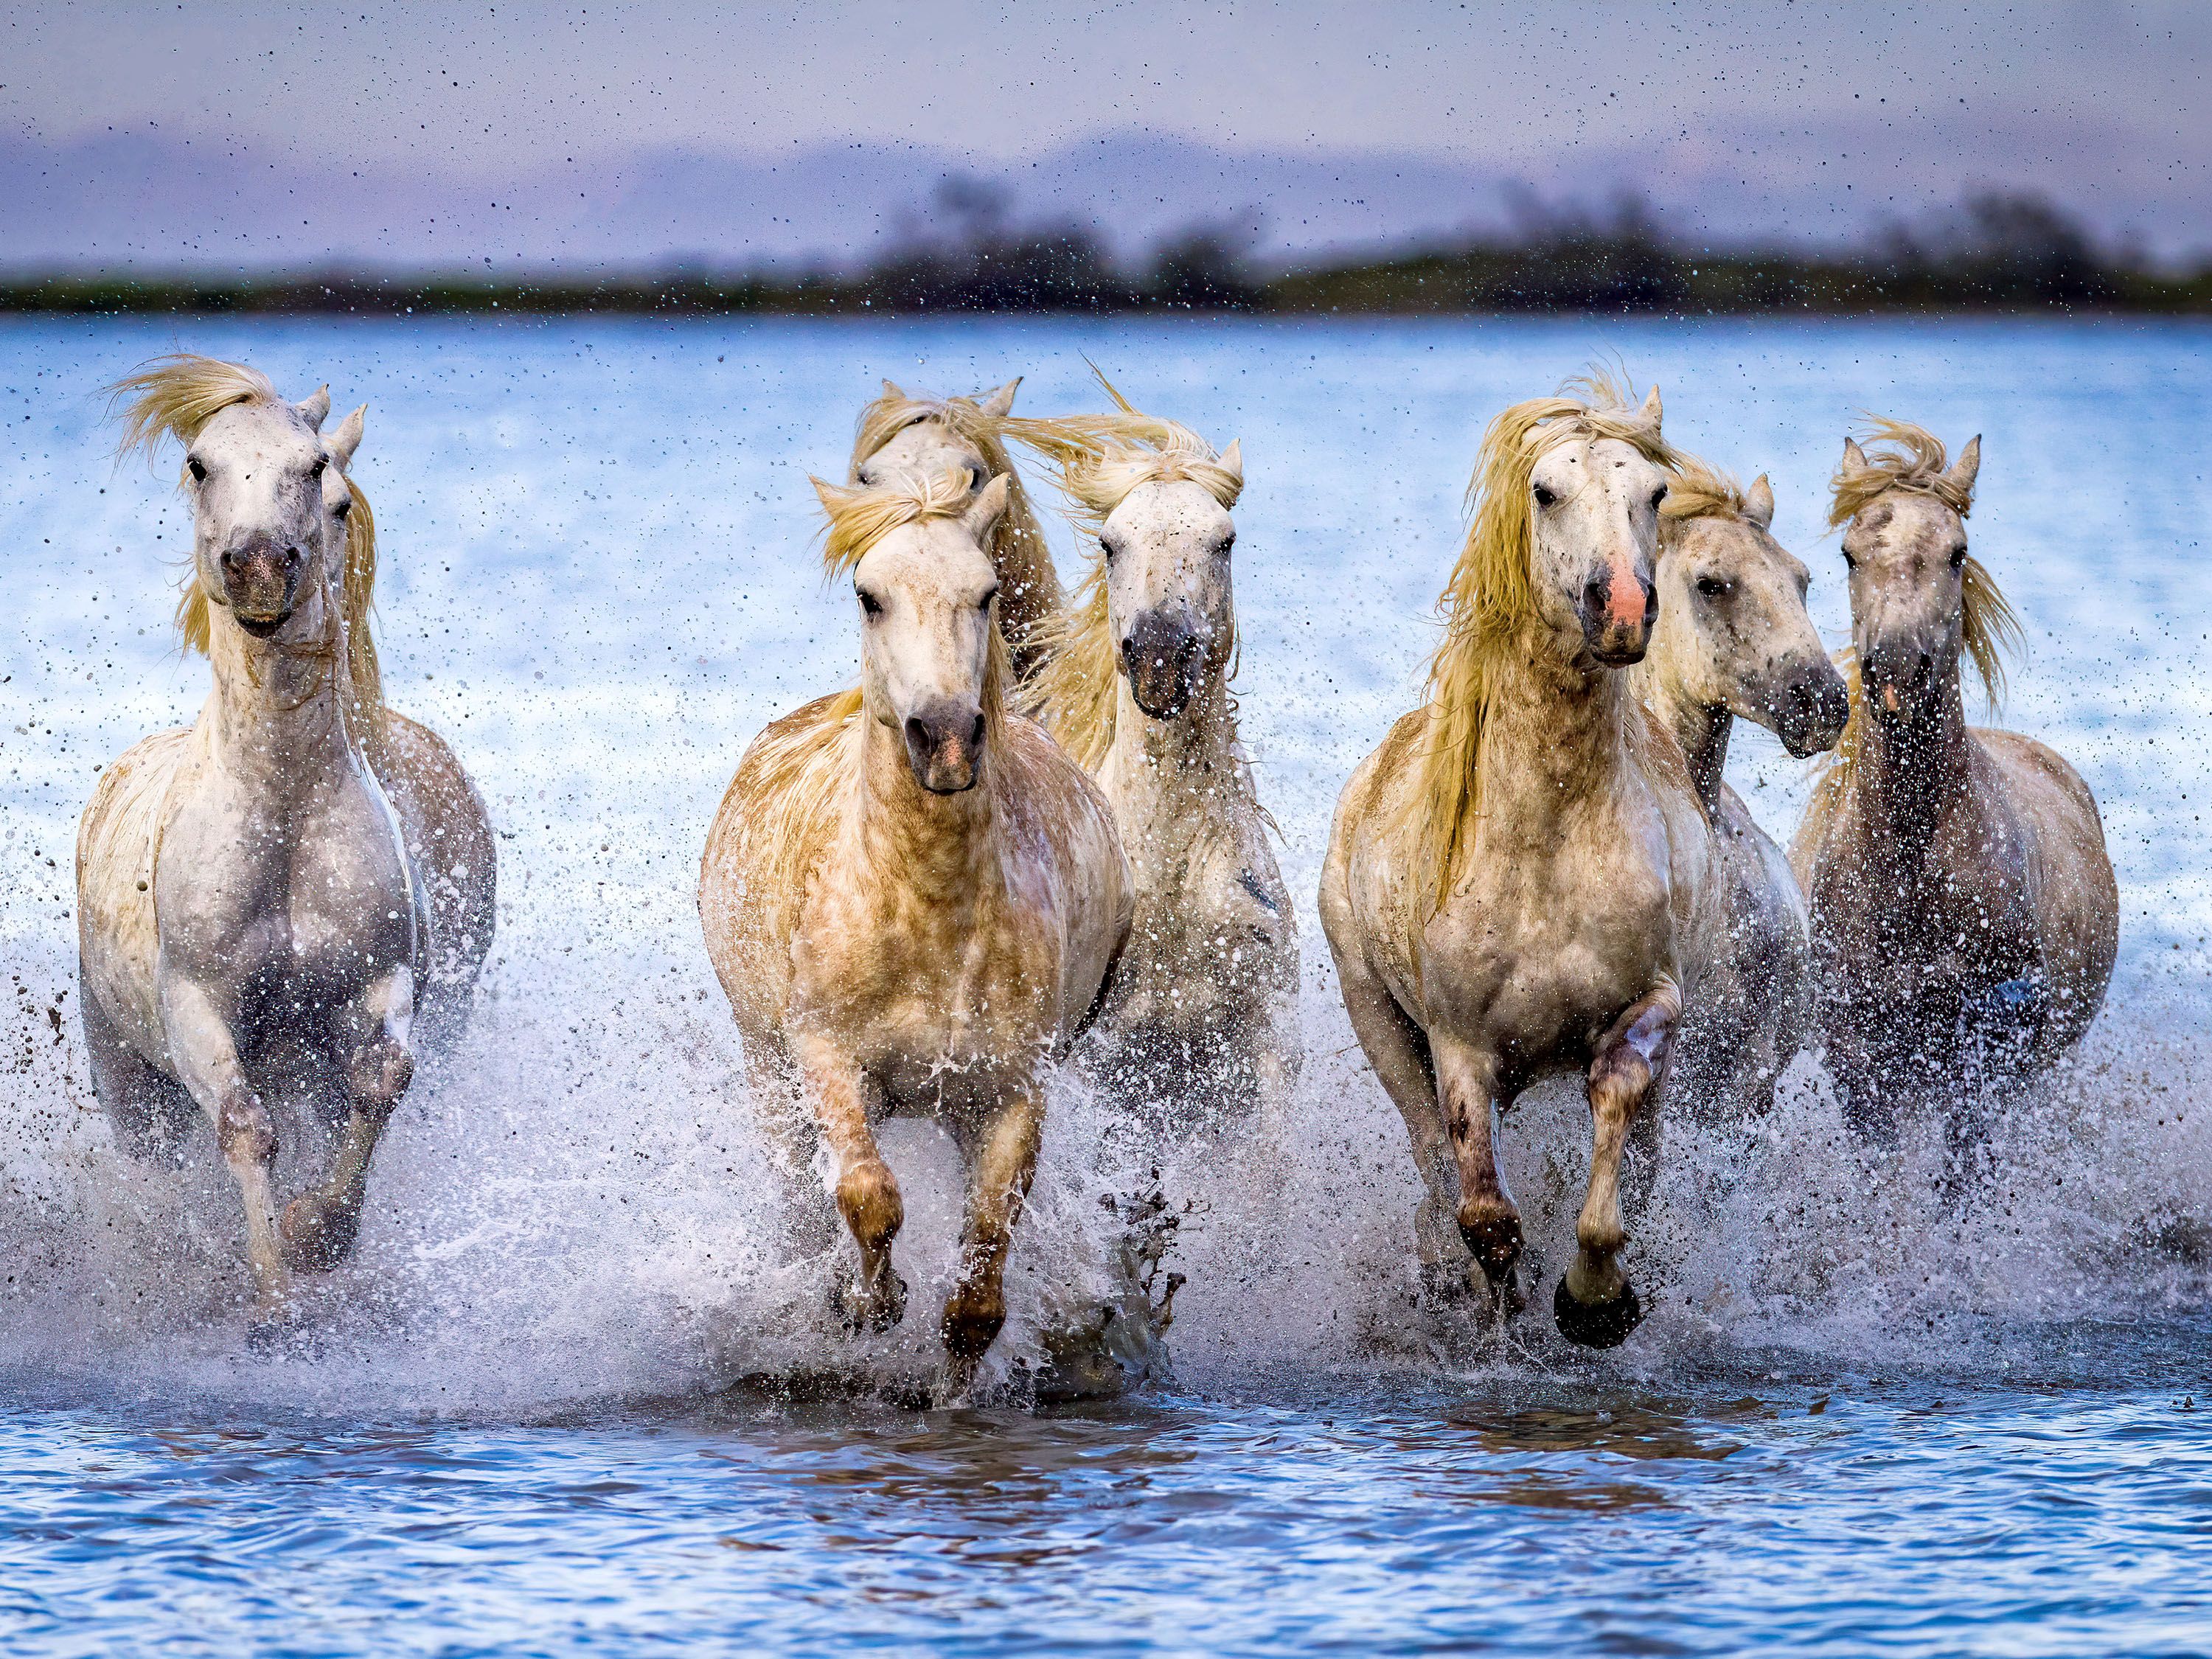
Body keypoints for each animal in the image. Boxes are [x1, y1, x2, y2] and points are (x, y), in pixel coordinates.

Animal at [76, 355, 496, 1332]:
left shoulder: (378, 982)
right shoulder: (197, 1008)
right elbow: (243, 1127)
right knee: (171, 1161)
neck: (283, 814)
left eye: (318, 476)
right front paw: (270, 1297)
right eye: (198, 464)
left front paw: (317, 1234)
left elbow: (381, 1080)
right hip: (130, 1084)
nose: (261, 566)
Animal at [698, 467, 1131, 1396]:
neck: (922, 907)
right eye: (870, 596)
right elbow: (868, 1196)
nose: (946, 738)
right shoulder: (826, 1055)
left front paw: (948, 1387)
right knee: (803, 1200)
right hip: (767, 1068)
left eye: (987, 592)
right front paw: (868, 1304)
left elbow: (978, 1296)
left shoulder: (1010, 1092)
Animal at [1318, 381, 1720, 1348]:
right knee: (1432, 1158)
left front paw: (1595, 1300)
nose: (1622, 607)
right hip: (1377, 1018)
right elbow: (1486, 1216)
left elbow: (1615, 1105)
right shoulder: (1459, 1044)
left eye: (1655, 492)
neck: (1546, 840)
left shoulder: (1653, 999)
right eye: (1545, 491)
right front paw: (1499, 1322)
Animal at [1790, 420, 2117, 1146]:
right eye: (1850, 555)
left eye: (1957, 551)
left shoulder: (1985, 1057)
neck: (1910, 874)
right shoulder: (1862, 1068)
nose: (1894, 666)